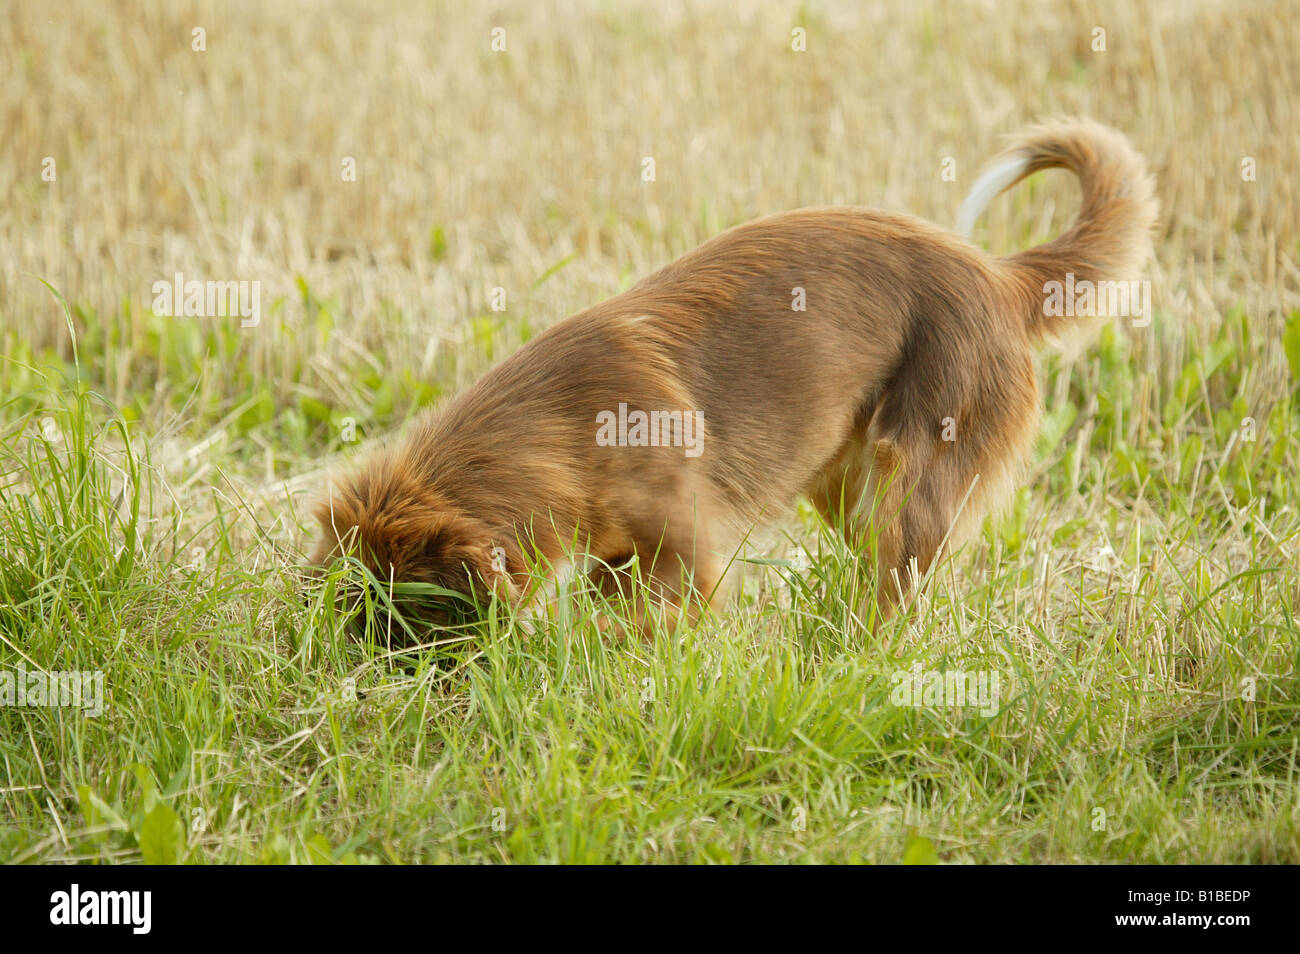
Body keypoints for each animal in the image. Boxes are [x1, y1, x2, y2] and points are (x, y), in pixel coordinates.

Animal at [306, 121, 1159, 642]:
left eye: (412, 622)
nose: (353, 670)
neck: (562, 430)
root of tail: (1001, 277)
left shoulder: (685, 555)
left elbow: (637, 624)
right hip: (844, 485)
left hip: (916, 479)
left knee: (893, 594)